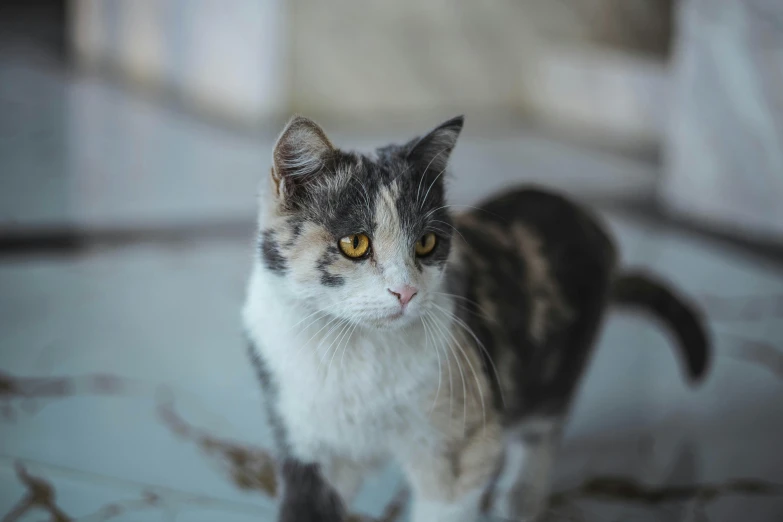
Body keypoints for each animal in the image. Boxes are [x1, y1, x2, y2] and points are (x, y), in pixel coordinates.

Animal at [240, 115, 712, 520]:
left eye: (427, 243)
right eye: (355, 243)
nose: (406, 292)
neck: (355, 351)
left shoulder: (463, 448)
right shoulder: (308, 445)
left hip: (552, 370)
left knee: (542, 427)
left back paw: (519, 499)